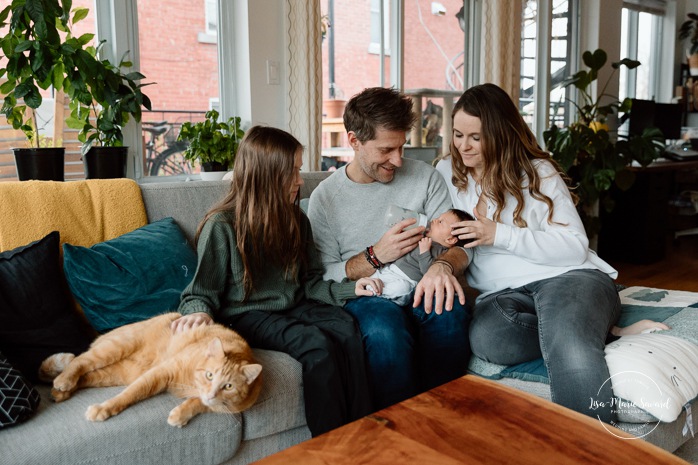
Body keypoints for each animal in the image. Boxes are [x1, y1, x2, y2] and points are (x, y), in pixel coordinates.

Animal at [41, 310, 264, 426]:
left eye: (228, 386)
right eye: (209, 375)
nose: (211, 393)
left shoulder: (222, 405)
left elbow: (200, 404)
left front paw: (181, 414)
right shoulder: (161, 373)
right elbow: (129, 394)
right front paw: (104, 408)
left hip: (116, 373)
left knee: (85, 376)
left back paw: (60, 392)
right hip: (114, 349)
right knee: (80, 360)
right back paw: (64, 381)